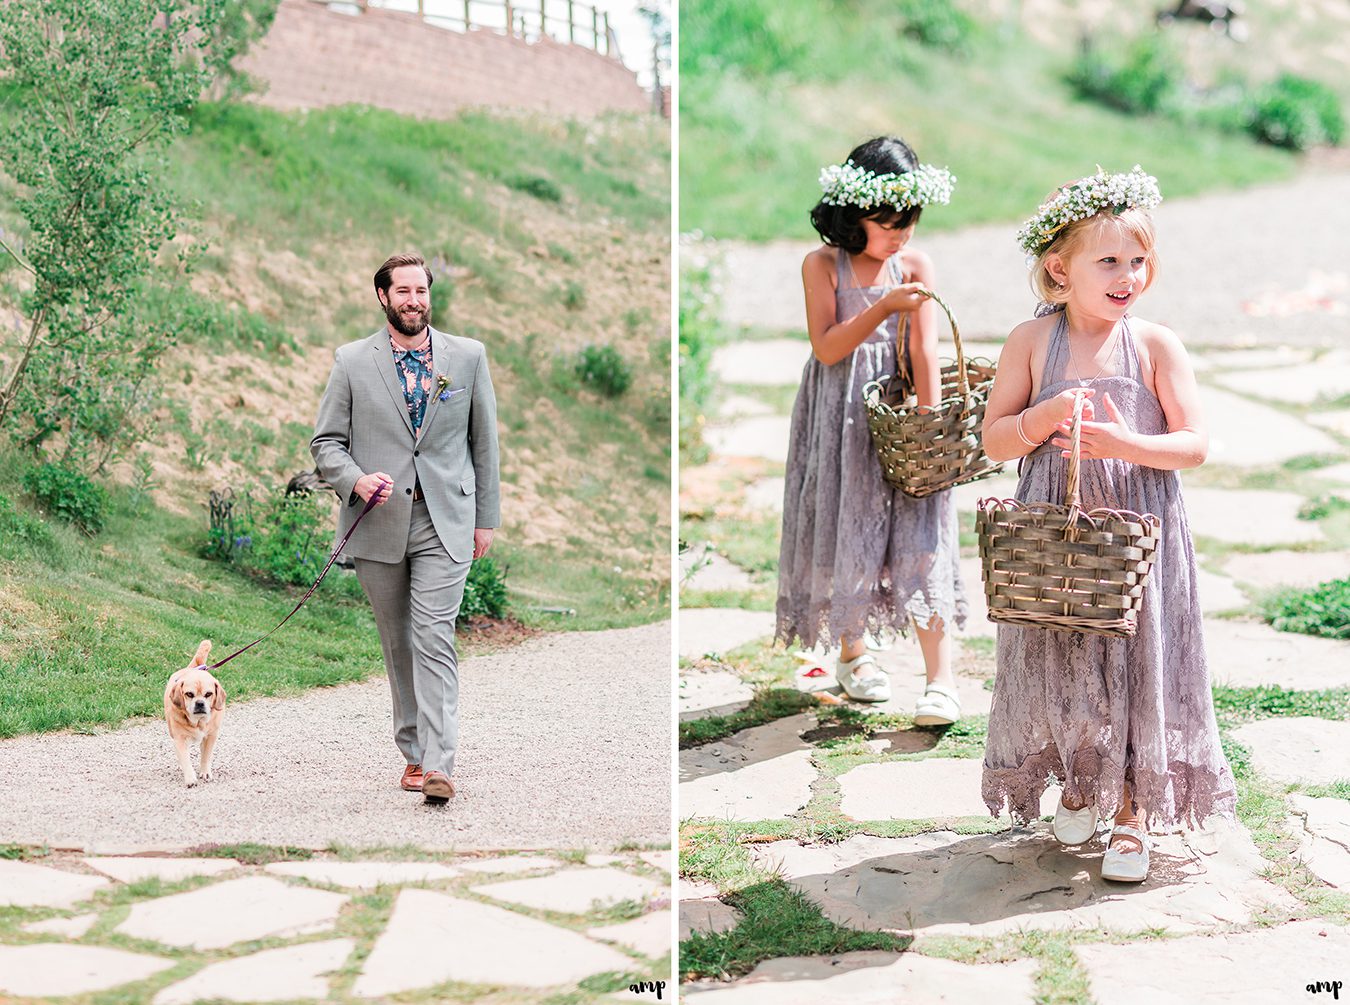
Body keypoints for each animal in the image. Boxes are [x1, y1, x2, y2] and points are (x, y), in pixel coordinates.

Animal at [164, 640, 226, 788]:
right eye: (189, 694)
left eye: (208, 694)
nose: (199, 703)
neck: (198, 722)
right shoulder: (180, 738)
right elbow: (185, 759)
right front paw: (190, 778)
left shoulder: (211, 736)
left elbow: (206, 756)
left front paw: (205, 772)